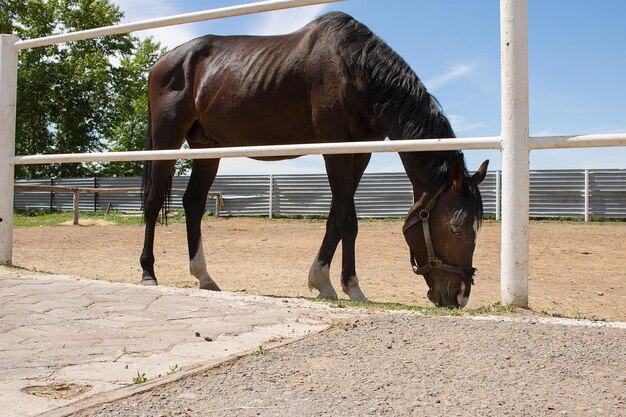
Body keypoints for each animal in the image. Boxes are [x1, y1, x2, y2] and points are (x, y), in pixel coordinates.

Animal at [140, 11, 488, 308]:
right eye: (456, 229)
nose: (460, 296)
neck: (355, 70)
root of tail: (162, 63)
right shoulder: (335, 150)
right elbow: (348, 220)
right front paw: (352, 287)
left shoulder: (360, 153)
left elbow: (335, 218)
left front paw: (322, 282)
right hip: (167, 140)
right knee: (154, 201)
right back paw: (148, 273)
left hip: (206, 148)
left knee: (193, 203)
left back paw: (204, 277)